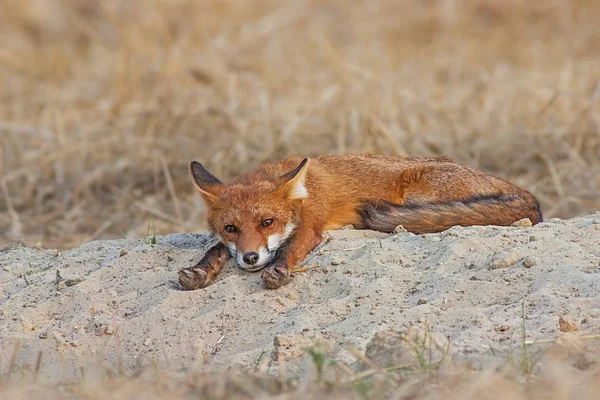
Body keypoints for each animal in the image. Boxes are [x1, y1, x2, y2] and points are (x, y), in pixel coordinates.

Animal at [176, 154, 540, 290]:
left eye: (268, 222)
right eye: (231, 229)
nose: (250, 258)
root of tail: (526, 193)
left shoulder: (311, 227)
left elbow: (288, 249)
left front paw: (278, 270)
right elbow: (215, 250)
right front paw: (199, 271)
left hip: (416, 192)